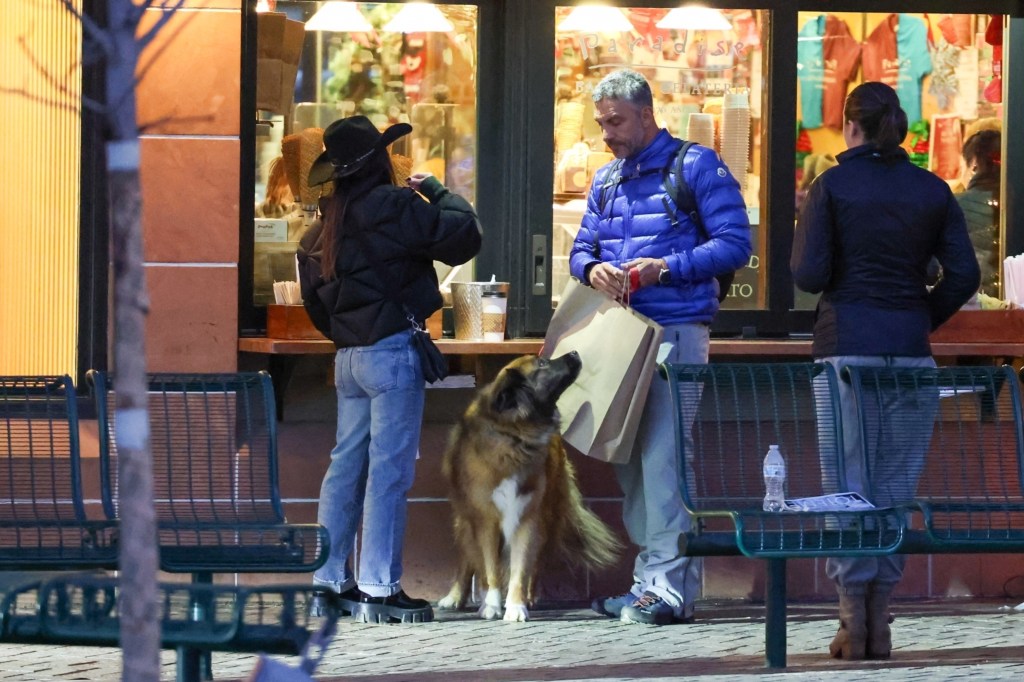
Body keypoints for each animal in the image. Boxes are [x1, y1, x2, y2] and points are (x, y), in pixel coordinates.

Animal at [436, 348, 618, 618]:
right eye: (542, 363)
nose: (575, 352)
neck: (515, 434)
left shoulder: (527, 515)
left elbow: (521, 567)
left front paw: (516, 606)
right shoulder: (485, 519)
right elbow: (489, 568)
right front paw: (491, 604)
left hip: (547, 516)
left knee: (536, 561)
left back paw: (530, 596)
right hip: (465, 518)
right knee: (467, 557)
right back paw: (457, 596)